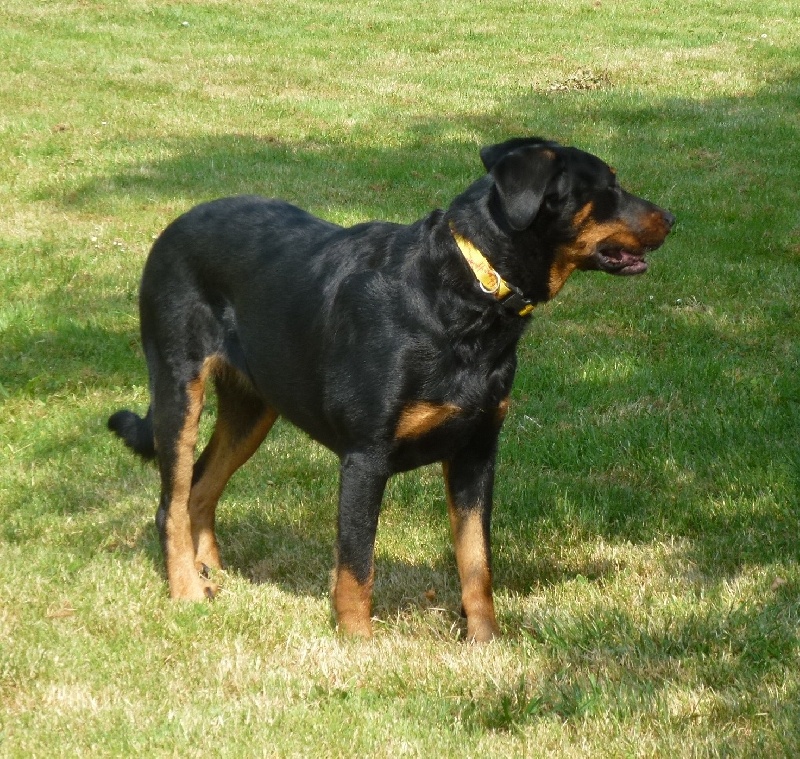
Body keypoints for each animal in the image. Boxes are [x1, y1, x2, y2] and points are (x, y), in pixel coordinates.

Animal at [109, 137, 673, 641]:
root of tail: (174, 226)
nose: (671, 217)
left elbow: (477, 562)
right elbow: (357, 566)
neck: (469, 293)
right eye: (607, 187)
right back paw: (187, 591)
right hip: (179, 388)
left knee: (202, 488)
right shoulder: (366, 456)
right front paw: (358, 644)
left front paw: (486, 641)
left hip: (253, 407)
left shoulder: (476, 453)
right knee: (171, 502)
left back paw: (213, 574)